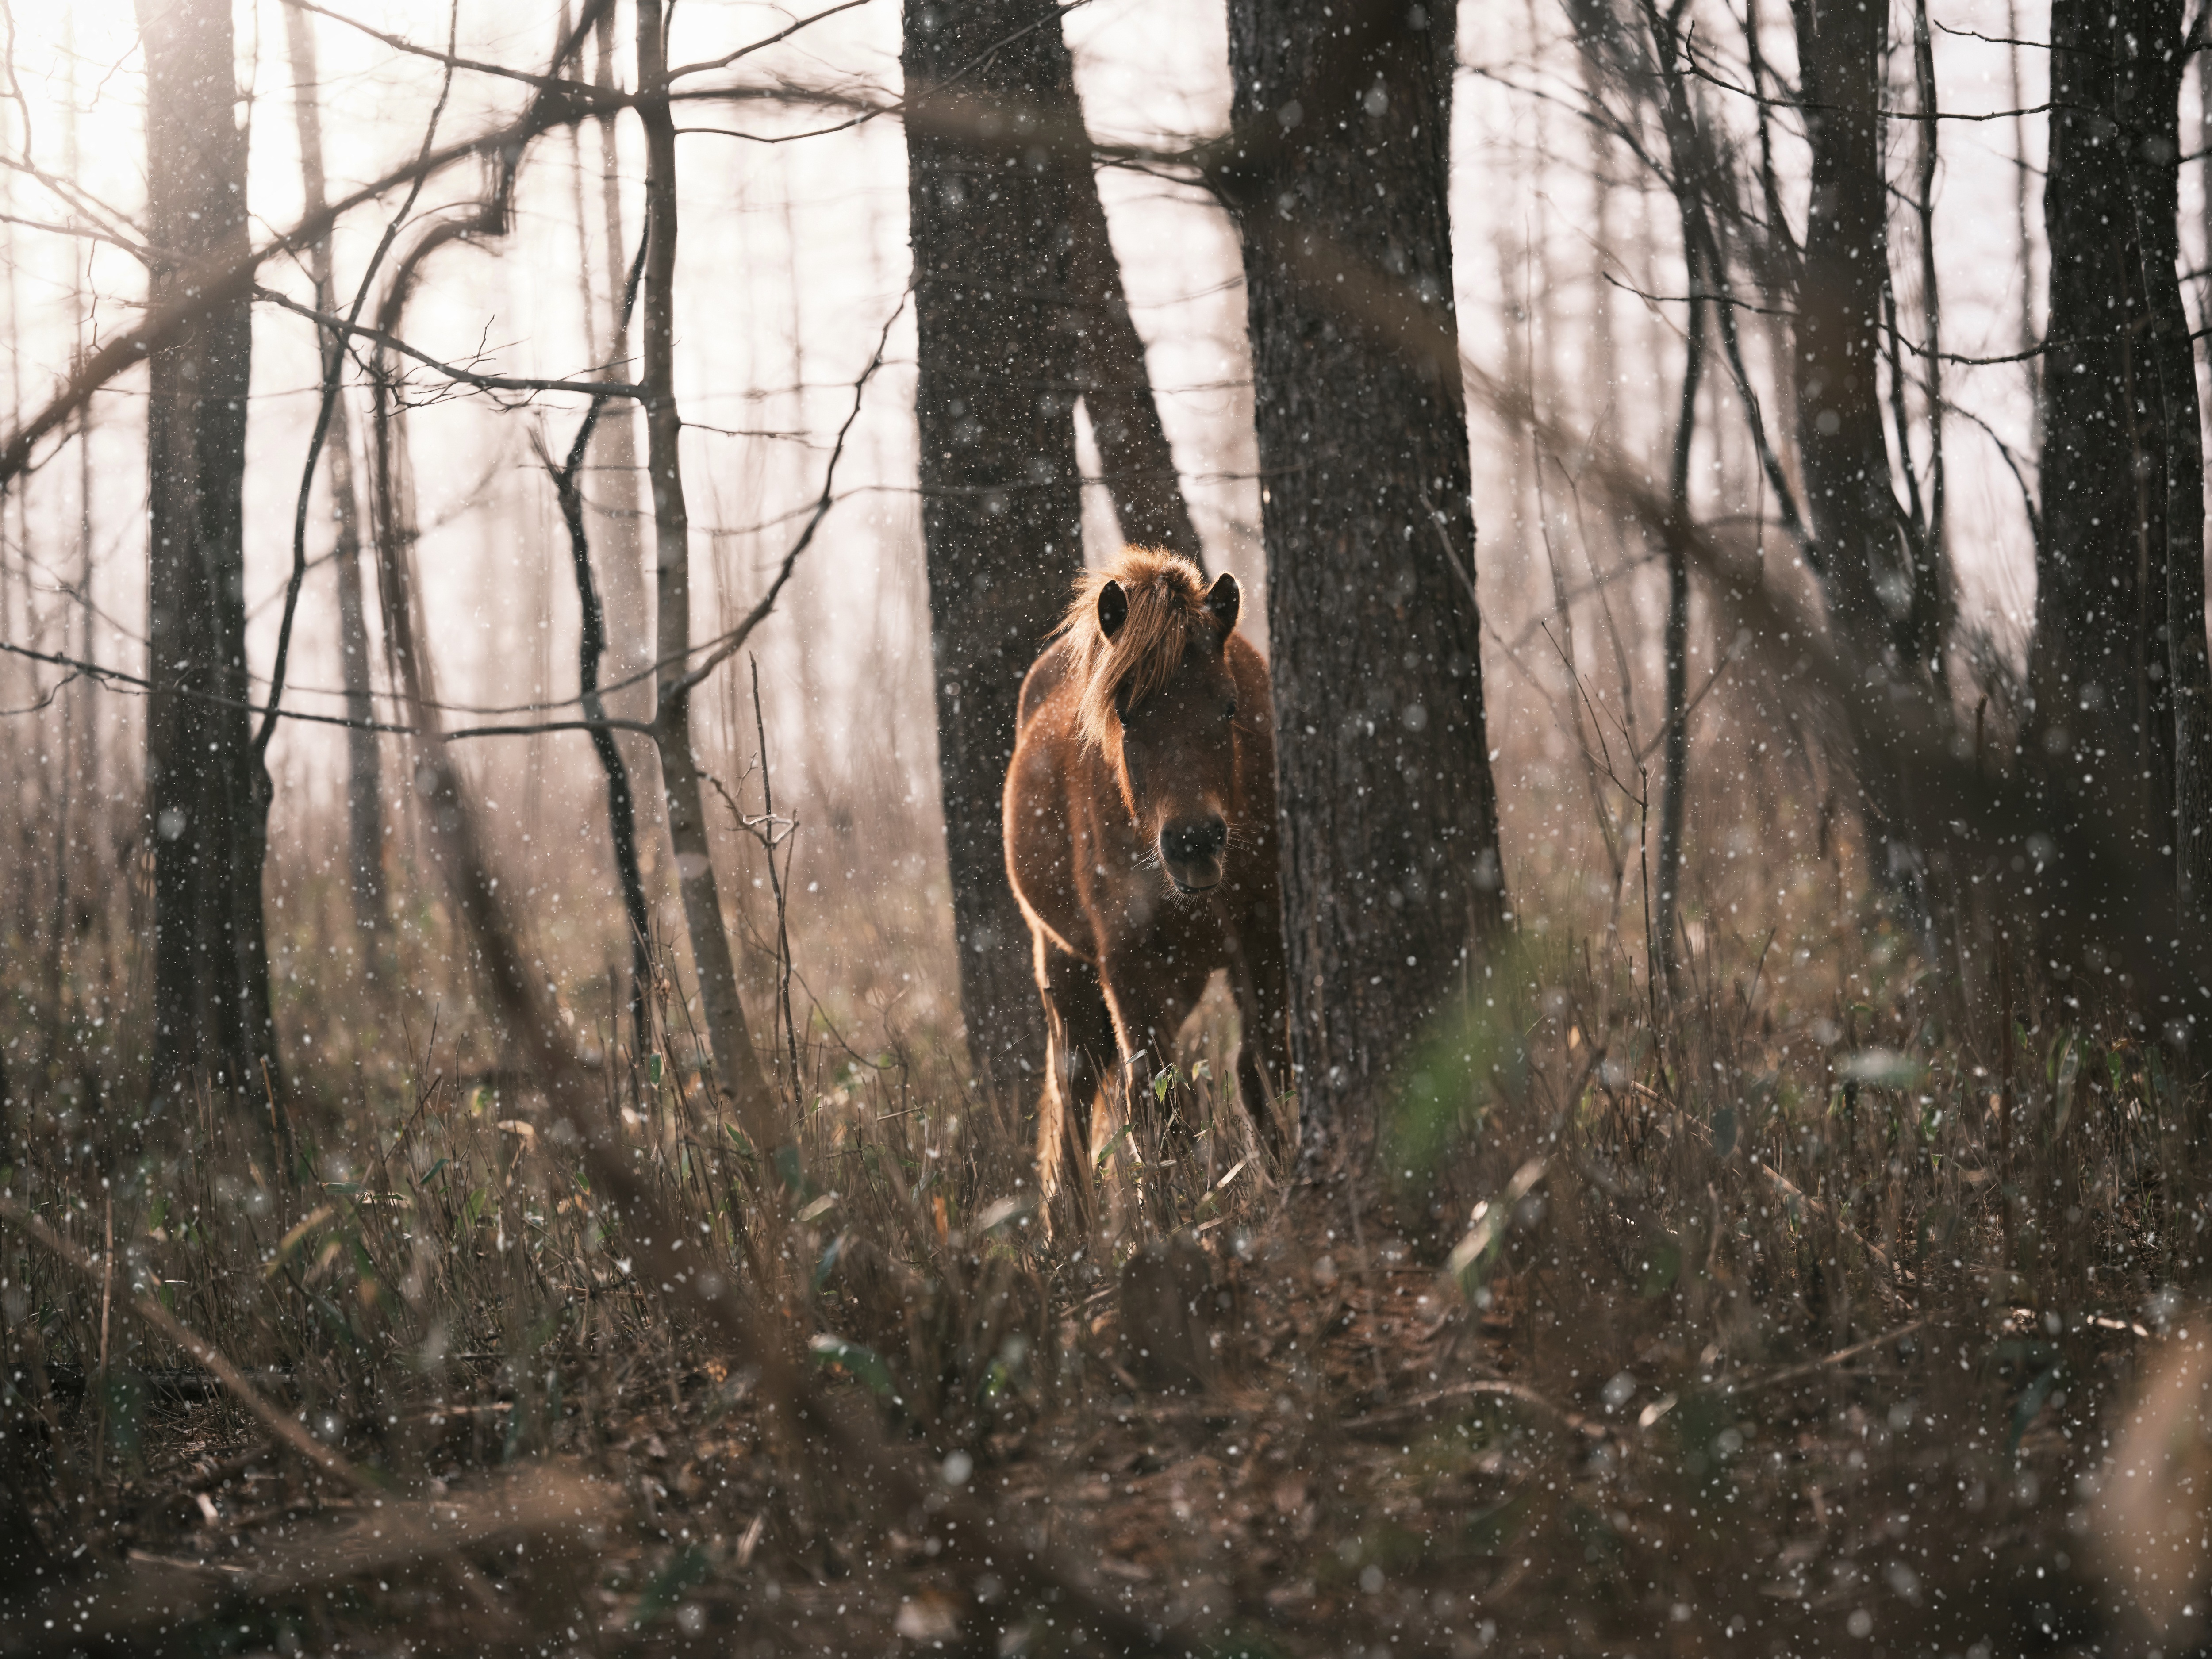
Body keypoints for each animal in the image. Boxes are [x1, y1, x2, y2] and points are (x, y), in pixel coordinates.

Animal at [1003, 547, 1291, 1198]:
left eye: (1228, 706)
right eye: (1126, 714)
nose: (1193, 842)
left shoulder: (1261, 938)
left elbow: (1263, 1072)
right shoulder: (1126, 959)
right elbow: (1153, 1108)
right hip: (1064, 965)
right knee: (1075, 1093)